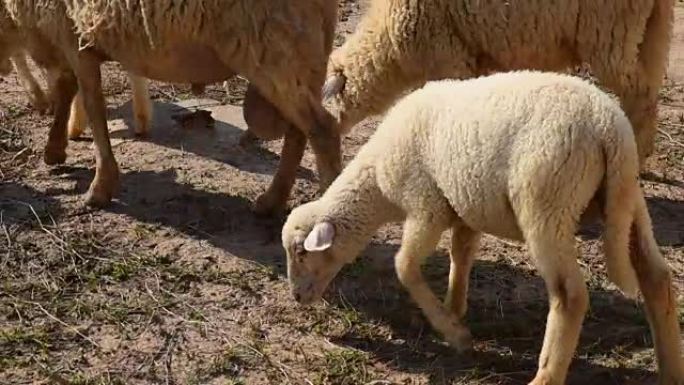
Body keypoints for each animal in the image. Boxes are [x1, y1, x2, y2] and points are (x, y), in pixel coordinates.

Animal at [0, 0, 342, 213]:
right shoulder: (74, 38)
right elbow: (68, 90)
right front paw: (54, 150)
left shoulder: (74, 37)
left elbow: (93, 109)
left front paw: (100, 187)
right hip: (298, 56)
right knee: (300, 131)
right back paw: (272, 202)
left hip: (274, 49)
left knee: (322, 129)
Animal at [284, 70, 684, 382]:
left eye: (301, 253)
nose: (297, 298)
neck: (377, 183)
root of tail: (607, 126)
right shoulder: (463, 207)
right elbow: (460, 256)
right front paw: (453, 310)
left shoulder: (425, 206)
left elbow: (405, 266)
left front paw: (455, 334)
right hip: (624, 199)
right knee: (656, 278)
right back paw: (670, 370)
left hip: (547, 202)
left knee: (569, 294)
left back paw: (544, 376)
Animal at [324, 0, 676, 164]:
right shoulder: (473, 61)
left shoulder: (449, 58)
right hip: (649, 30)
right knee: (649, 87)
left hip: (610, 32)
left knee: (640, 93)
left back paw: (638, 158)